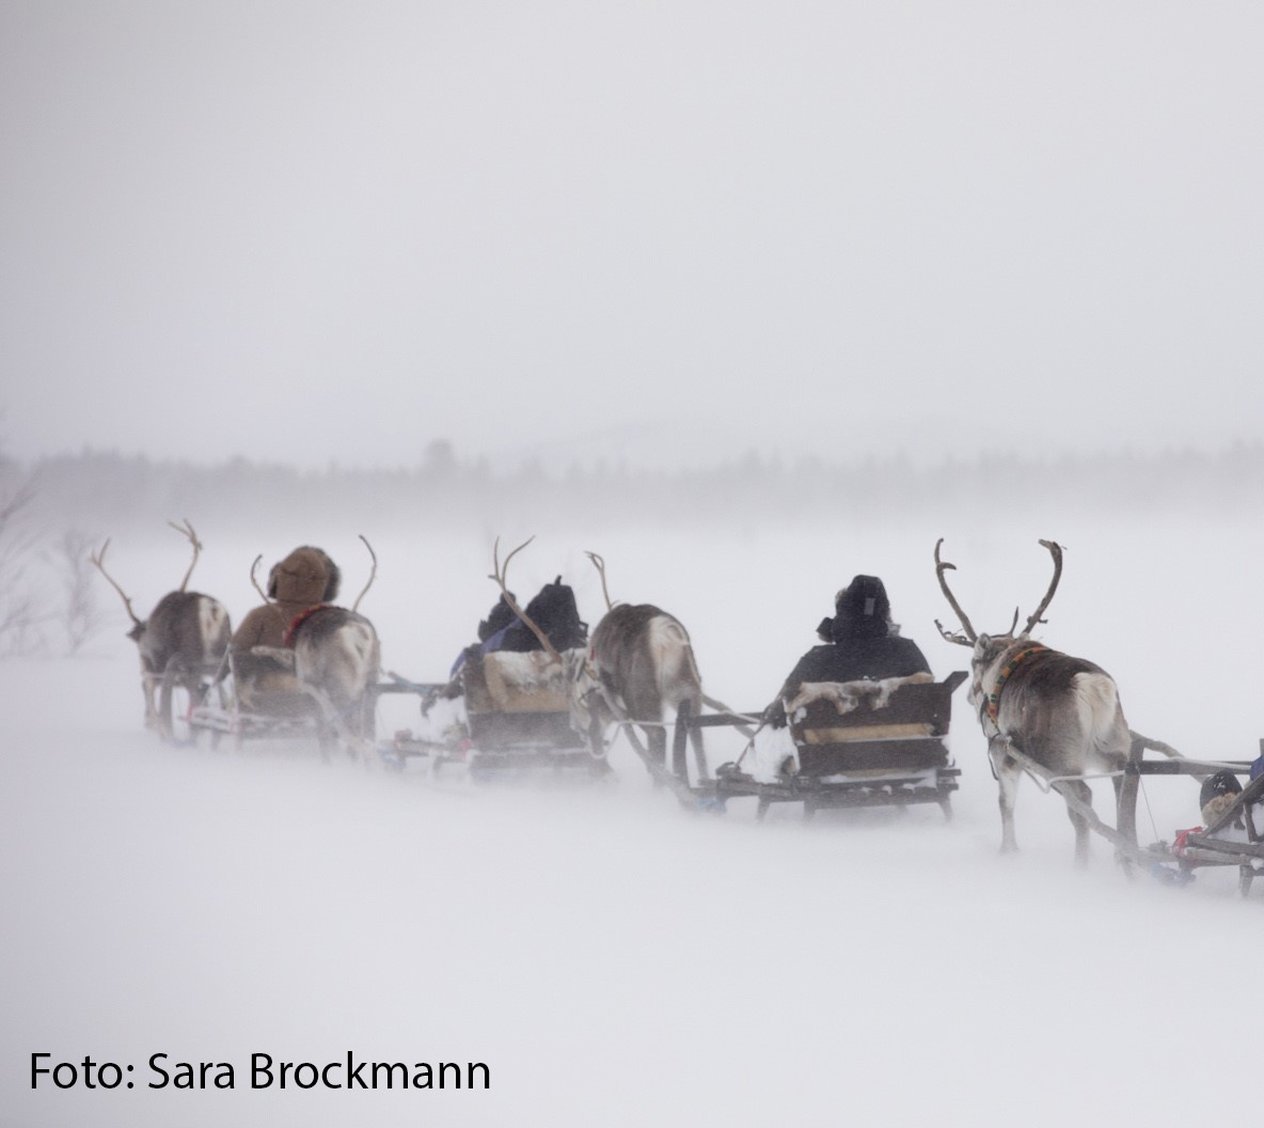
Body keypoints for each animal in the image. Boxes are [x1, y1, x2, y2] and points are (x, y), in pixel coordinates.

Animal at [91, 520, 232, 734]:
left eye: (139, 646)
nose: (146, 723)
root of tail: (211, 610)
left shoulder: (157, 670)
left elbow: (153, 696)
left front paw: (157, 726)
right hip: (220, 656)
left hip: (191, 661)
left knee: (193, 697)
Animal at [566, 551, 708, 786]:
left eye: (565, 694)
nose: (574, 726)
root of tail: (662, 634)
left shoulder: (603, 709)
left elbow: (599, 740)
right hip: (685, 685)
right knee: (695, 731)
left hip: (640, 696)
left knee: (658, 736)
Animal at [933, 538, 1133, 865]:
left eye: (974, 661)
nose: (969, 696)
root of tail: (1092, 686)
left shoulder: (1003, 752)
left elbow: (1004, 803)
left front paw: (1008, 851)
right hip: (1114, 747)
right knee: (1123, 793)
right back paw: (1122, 858)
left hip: (1059, 757)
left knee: (1082, 801)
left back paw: (1082, 864)